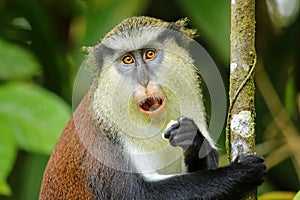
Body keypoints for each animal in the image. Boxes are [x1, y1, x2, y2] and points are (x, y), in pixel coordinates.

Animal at [39, 16, 264, 200]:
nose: (143, 80)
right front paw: (241, 172)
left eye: (149, 54)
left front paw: (192, 137)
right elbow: (138, 195)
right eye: (128, 59)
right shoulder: (103, 143)